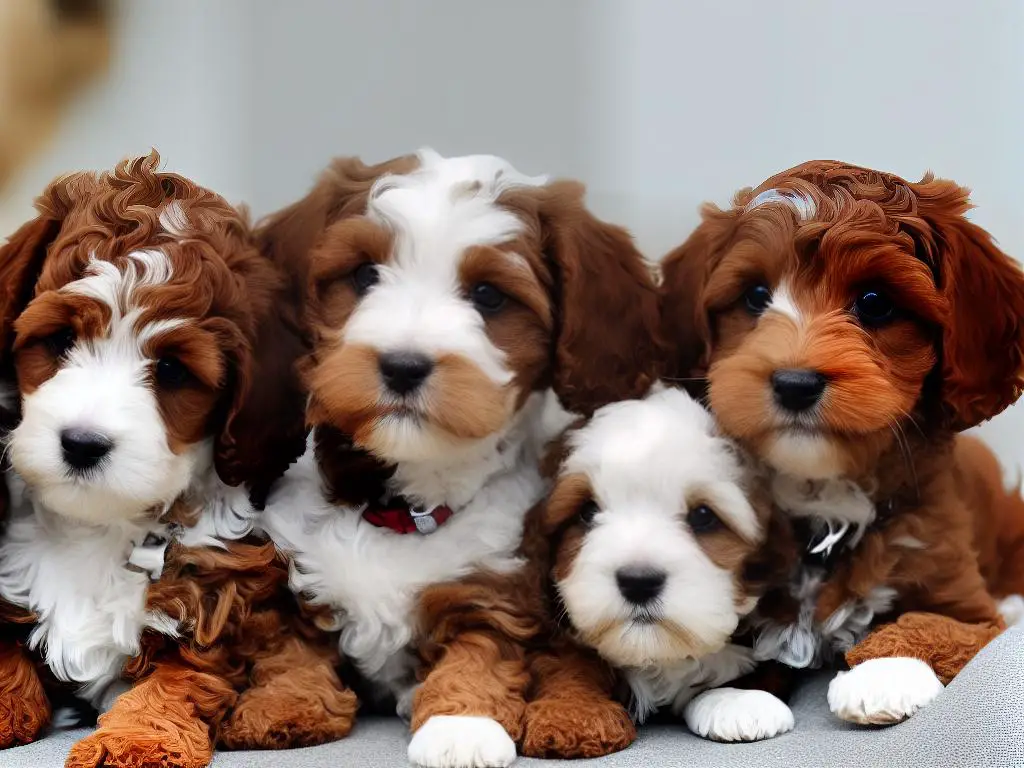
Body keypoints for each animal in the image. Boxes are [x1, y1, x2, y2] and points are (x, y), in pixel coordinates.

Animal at [0, 153, 356, 765]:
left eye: (171, 370)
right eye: (61, 339)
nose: (82, 443)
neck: (98, 524)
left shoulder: (214, 591)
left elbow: (178, 678)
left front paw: (136, 739)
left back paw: (282, 709)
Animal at [254, 150, 655, 768]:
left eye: (488, 295)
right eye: (364, 275)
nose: (403, 365)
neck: (398, 510)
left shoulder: (494, 591)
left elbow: (478, 657)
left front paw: (460, 728)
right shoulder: (293, 573)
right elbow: (289, 643)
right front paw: (284, 704)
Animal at [532, 387, 794, 749]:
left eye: (703, 516)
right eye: (587, 512)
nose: (638, 582)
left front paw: (738, 700)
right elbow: (568, 664)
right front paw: (574, 712)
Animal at [659, 160, 1024, 729]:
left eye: (874, 303)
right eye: (755, 296)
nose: (795, 383)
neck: (825, 498)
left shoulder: (964, 597)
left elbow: (936, 622)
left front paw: (884, 673)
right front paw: (735, 695)